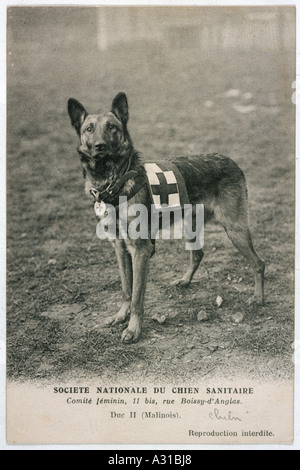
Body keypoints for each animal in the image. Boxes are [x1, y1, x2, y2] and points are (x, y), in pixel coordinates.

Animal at [68, 92, 264, 344]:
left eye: (112, 127)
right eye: (89, 129)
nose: (99, 146)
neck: (114, 183)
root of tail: (230, 161)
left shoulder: (140, 251)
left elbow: (137, 296)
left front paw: (133, 328)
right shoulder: (120, 249)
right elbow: (126, 289)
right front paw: (121, 316)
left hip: (234, 228)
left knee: (259, 263)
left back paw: (258, 298)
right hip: (191, 228)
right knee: (198, 255)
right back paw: (185, 281)